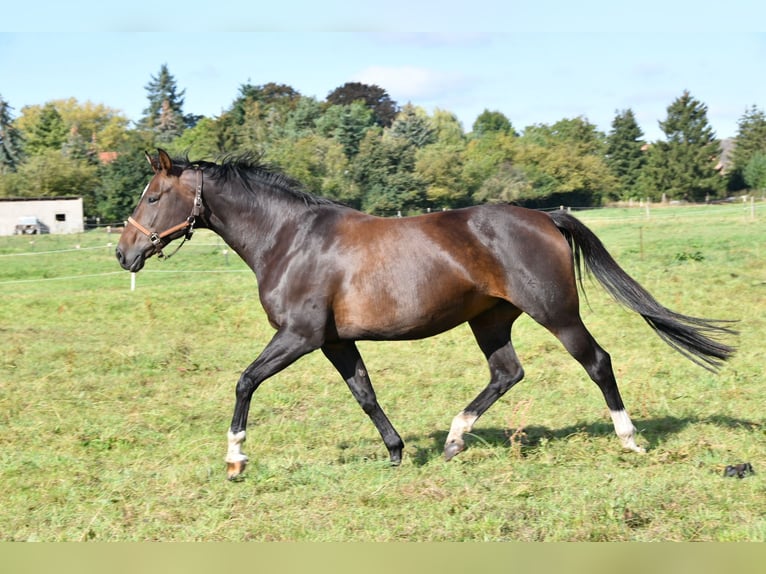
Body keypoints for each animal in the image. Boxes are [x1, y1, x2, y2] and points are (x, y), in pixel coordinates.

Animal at [115, 150, 736, 482]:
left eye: (153, 196)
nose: (124, 253)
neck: (289, 239)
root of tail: (545, 216)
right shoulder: (334, 341)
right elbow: (365, 393)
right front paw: (395, 453)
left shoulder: (299, 336)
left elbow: (245, 381)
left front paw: (236, 458)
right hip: (490, 320)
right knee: (507, 373)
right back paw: (456, 439)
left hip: (556, 314)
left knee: (598, 361)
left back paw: (629, 439)